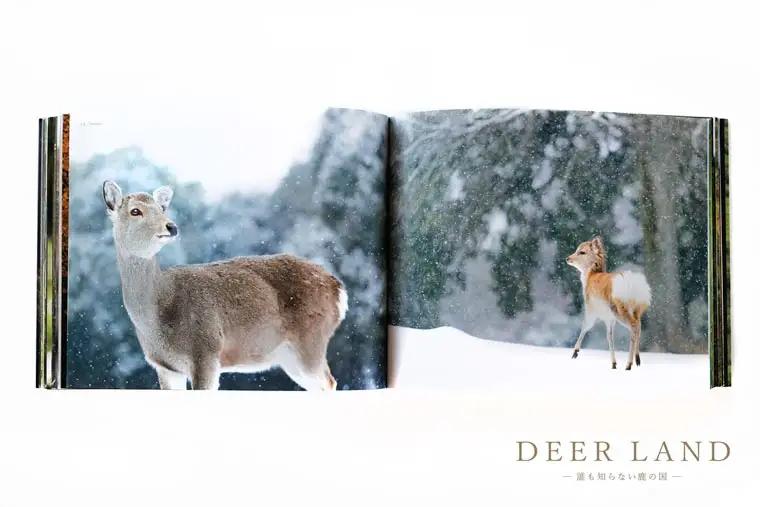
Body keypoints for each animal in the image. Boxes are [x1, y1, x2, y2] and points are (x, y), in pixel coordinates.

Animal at [102, 180, 348, 390]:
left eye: (162, 209)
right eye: (135, 211)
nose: (171, 226)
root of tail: (339, 289)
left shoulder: (206, 351)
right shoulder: (165, 367)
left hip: (311, 341)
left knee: (329, 382)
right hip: (289, 357)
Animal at [565, 236, 651, 370]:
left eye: (582, 252)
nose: (568, 258)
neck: (590, 276)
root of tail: (635, 287)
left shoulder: (591, 309)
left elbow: (585, 326)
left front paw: (575, 352)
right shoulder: (609, 318)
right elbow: (609, 336)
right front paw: (613, 363)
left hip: (619, 308)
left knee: (634, 327)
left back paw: (628, 364)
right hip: (637, 309)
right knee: (639, 326)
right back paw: (637, 360)